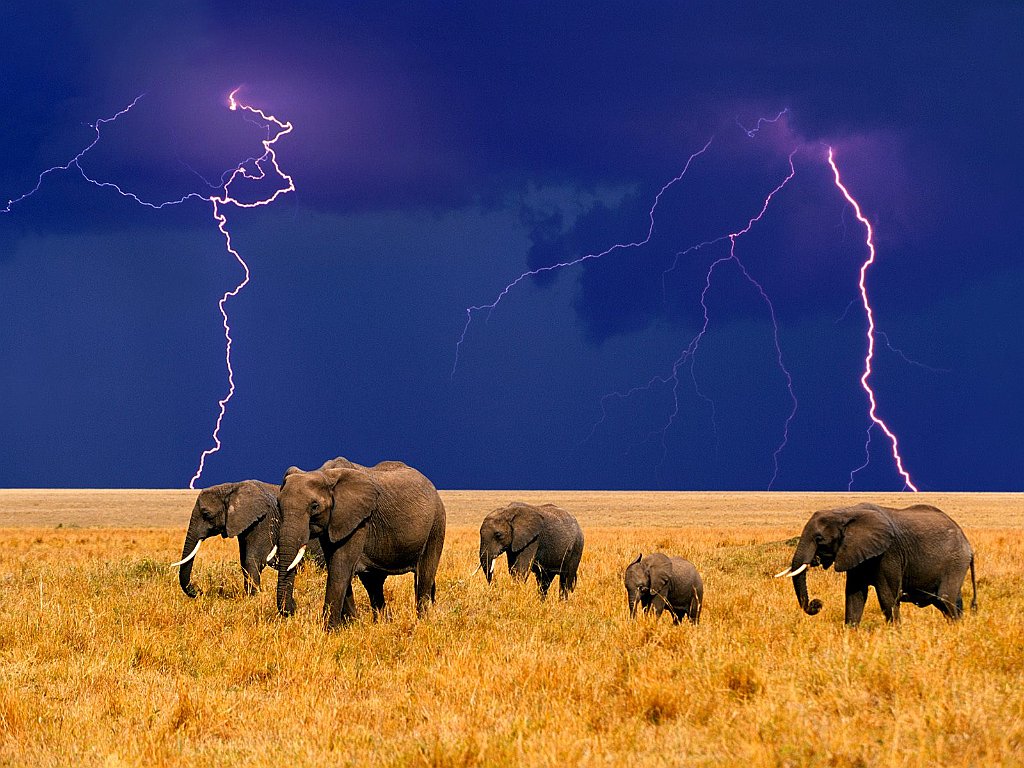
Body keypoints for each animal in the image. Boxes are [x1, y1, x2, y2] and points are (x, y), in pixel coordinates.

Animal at [172, 481, 323, 602]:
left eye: (206, 514)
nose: (199, 591)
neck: (232, 487)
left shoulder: (264, 520)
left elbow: (253, 559)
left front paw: (254, 597)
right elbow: (244, 560)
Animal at [274, 456, 446, 630]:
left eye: (315, 506)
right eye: (278, 505)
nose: (293, 607)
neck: (326, 474)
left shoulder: (359, 520)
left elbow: (340, 568)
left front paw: (329, 631)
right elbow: (337, 566)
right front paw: (352, 626)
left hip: (436, 525)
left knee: (424, 575)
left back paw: (423, 622)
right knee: (374, 583)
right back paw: (382, 624)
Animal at [774, 505, 974, 626]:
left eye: (819, 539)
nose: (817, 604)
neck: (844, 512)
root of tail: (968, 545)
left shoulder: (888, 553)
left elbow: (887, 596)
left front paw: (895, 634)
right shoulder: (854, 552)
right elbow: (854, 595)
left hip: (955, 562)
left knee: (945, 599)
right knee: (951, 601)